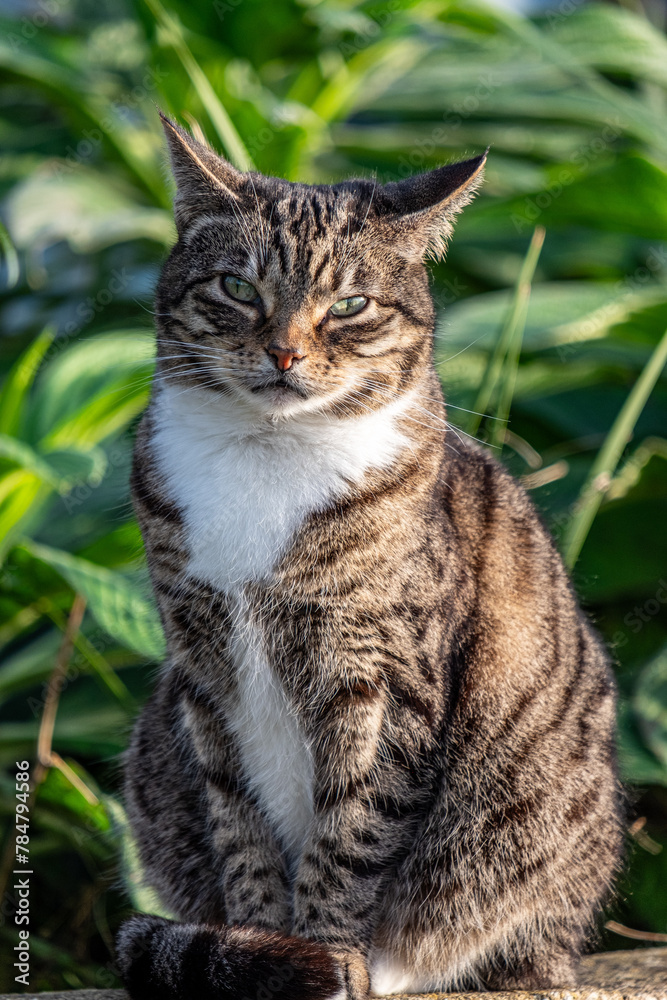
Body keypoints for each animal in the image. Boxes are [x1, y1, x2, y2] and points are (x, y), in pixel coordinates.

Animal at [116, 113, 628, 996]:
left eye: (349, 305)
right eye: (237, 288)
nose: (283, 354)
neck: (268, 454)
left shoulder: (383, 674)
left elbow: (350, 831)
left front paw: (326, 952)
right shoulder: (202, 667)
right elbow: (241, 825)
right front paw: (258, 944)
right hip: (156, 736)